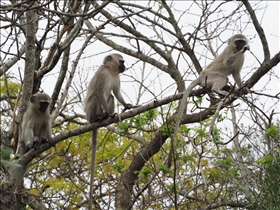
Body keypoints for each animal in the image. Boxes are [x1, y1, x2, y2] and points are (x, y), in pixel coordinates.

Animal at [83, 52, 135, 208]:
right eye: (122, 61)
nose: (124, 67)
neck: (111, 72)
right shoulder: (103, 74)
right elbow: (100, 93)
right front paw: (107, 113)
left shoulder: (116, 77)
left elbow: (116, 93)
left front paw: (126, 105)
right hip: (90, 113)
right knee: (96, 97)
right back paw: (100, 117)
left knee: (111, 96)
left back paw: (109, 116)